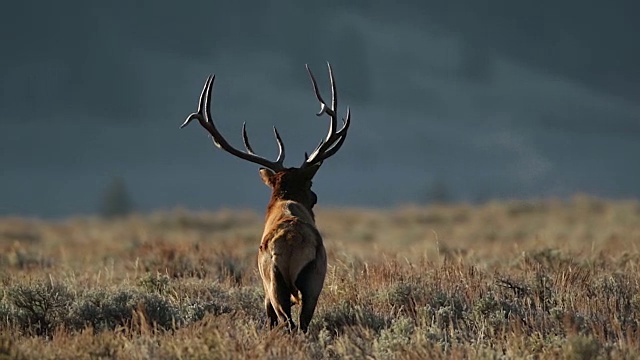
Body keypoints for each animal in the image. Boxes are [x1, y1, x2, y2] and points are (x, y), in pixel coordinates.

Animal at [179, 64, 350, 332]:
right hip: (311, 280)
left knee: (288, 321)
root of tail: (292, 244)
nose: (315, 196)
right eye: (310, 183)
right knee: (301, 321)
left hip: (276, 282)